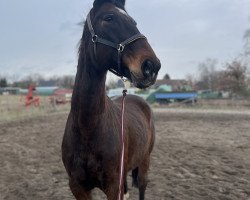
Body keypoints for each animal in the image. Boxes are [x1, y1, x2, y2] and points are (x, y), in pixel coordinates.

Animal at [61, 0, 161, 199]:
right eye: (108, 18)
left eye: (134, 22)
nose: (151, 66)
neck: (87, 127)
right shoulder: (77, 186)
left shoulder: (113, 186)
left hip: (145, 160)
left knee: (142, 186)